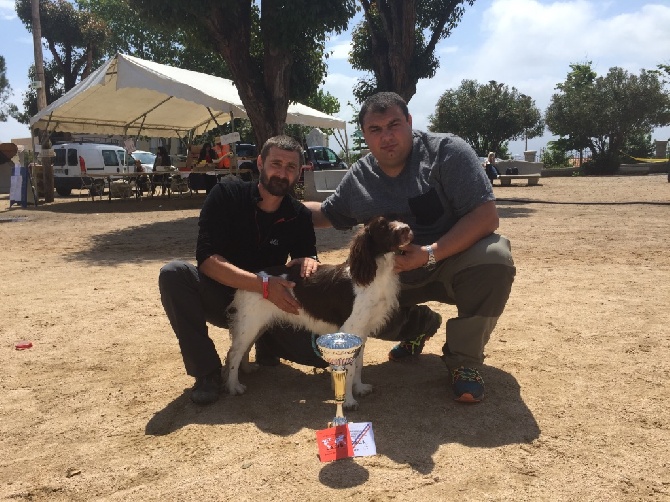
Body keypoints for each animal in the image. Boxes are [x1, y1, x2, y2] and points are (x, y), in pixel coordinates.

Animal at [227, 216, 414, 408]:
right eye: (382, 226)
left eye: (397, 219)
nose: (407, 228)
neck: (375, 273)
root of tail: (253, 278)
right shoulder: (350, 331)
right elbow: (350, 369)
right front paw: (348, 401)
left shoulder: (362, 332)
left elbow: (359, 364)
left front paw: (360, 388)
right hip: (250, 323)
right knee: (233, 353)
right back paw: (234, 386)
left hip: (257, 325)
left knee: (243, 349)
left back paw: (247, 369)